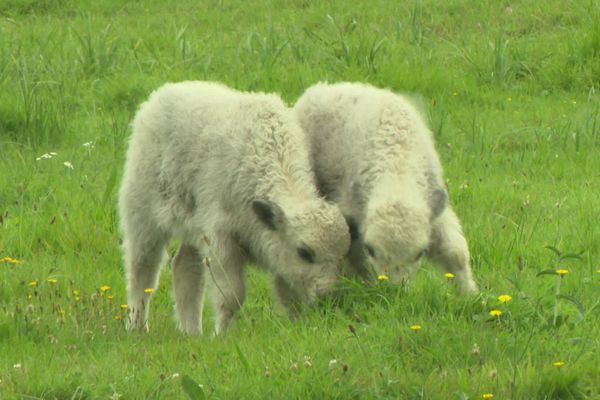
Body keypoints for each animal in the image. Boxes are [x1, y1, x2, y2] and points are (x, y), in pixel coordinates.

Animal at [119, 81, 350, 334]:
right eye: (305, 252)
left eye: (342, 255)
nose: (328, 297)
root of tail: (163, 93)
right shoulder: (222, 241)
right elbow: (231, 296)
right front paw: (222, 335)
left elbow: (289, 294)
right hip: (142, 215)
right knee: (142, 272)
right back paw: (137, 327)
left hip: (193, 227)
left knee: (184, 268)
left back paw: (192, 333)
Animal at [294, 82, 478, 294]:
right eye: (371, 250)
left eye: (420, 253)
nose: (393, 291)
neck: (397, 168)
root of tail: (322, 86)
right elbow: (357, 258)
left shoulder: (435, 209)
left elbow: (455, 252)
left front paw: (469, 294)